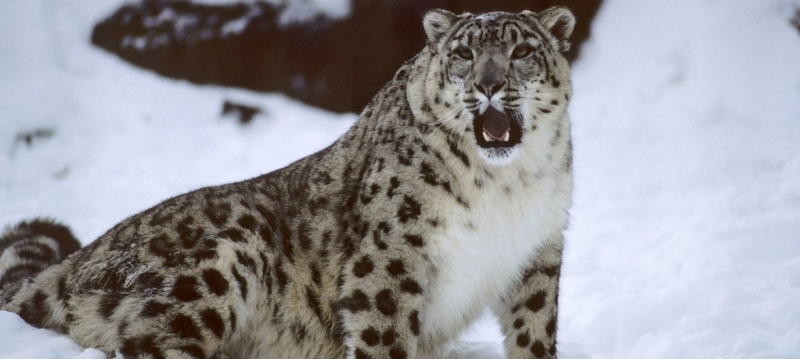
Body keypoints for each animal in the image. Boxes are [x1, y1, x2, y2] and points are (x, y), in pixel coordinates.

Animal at [0, 6, 576, 359]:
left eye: (521, 52)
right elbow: (384, 334)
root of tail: (75, 262)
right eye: (463, 54)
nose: (488, 84)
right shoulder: (392, 256)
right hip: (222, 258)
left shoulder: (539, 252)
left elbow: (534, 329)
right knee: (149, 341)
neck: (505, 188)